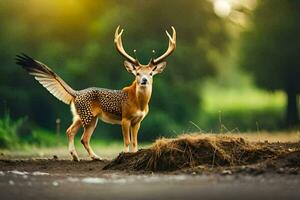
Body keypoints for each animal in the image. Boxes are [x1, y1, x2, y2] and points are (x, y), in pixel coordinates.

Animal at [16, 26, 176, 161]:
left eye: (151, 73)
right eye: (137, 73)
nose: (143, 80)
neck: (139, 104)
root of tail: (76, 93)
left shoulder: (138, 121)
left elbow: (135, 142)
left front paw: (134, 154)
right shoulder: (125, 118)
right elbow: (127, 140)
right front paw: (124, 156)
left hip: (80, 115)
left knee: (70, 131)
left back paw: (76, 157)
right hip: (89, 116)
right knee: (83, 138)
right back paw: (95, 157)